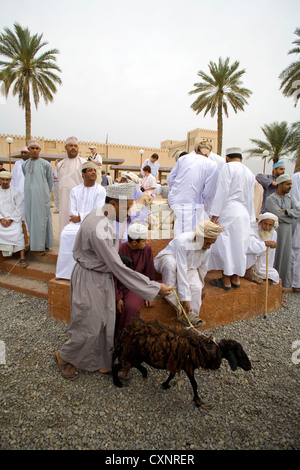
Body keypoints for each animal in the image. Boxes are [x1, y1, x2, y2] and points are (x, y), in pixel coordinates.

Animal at [112, 320, 251, 408]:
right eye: (239, 354)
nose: (249, 367)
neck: (204, 348)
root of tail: (125, 331)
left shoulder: (177, 364)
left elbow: (172, 375)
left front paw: (165, 384)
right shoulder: (189, 367)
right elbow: (194, 384)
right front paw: (198, 401)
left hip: (137, 354)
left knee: (131, 364)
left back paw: (144, 372)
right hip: (133, 353)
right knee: (118, 365)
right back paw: (118, 383)